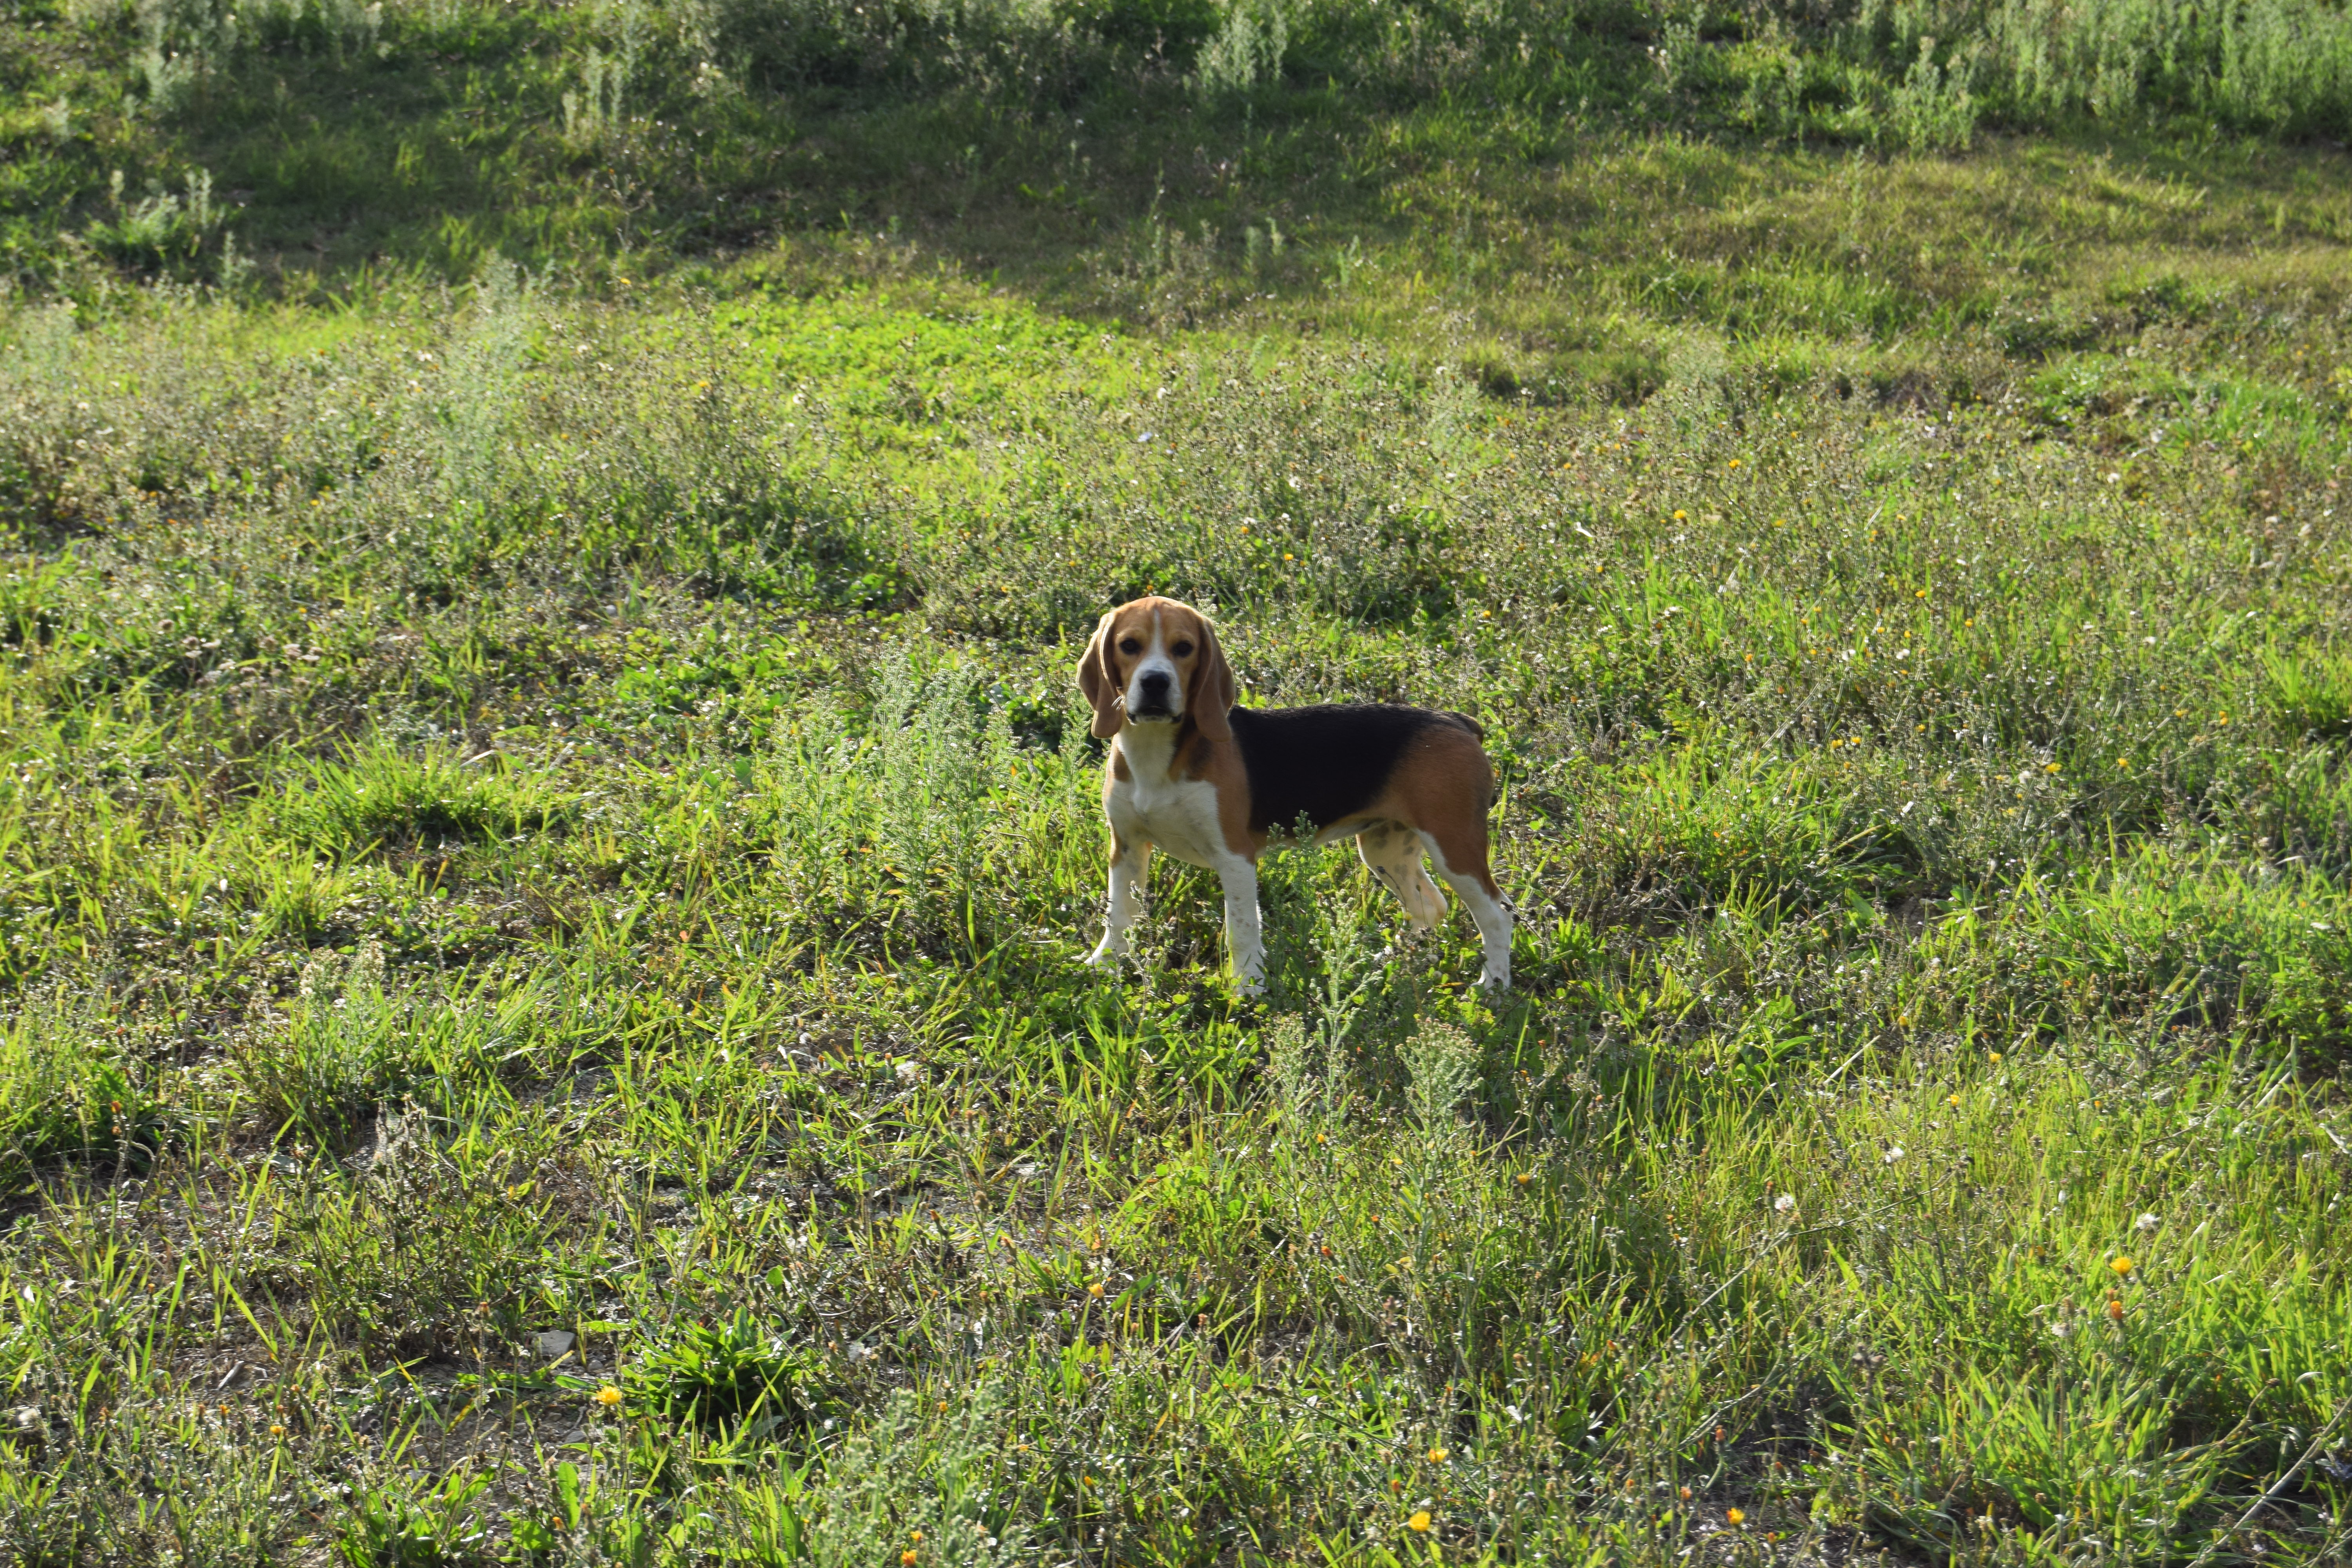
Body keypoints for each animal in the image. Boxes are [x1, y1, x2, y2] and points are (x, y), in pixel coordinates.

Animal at [1077, 602, 1515, 992]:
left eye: (1183, 648)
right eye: (1129, 645)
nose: (1155, 682)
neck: (1156, 751)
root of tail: (1456, 720)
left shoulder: (1235, 856)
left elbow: (1241, 927)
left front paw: (1247, 988)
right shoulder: (1127, 847)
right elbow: (1119, 913)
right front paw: (1106, 964)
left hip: (1453, 847)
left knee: (1497, 915)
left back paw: (1493, 984)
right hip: (1385, 850)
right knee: (1430, 905)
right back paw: (1397, 960)